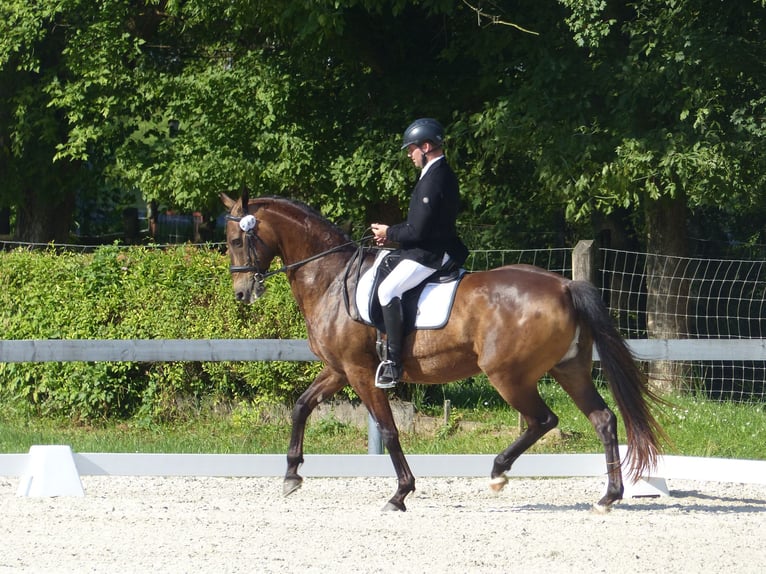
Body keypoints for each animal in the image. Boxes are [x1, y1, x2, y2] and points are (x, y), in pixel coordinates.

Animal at [220, 192, 664, 512]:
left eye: (236, 241)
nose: (241, 294)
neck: (331, 279)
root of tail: (564, 285)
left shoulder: (361, 372)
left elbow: (388, 430)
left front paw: (400, 494)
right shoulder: (340, 370)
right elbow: (301, 406)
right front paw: (291, 476)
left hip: (508, 376)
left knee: (544, 419)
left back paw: (498, 472)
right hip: (568, 369)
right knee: (603, 419)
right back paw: (608, 496)